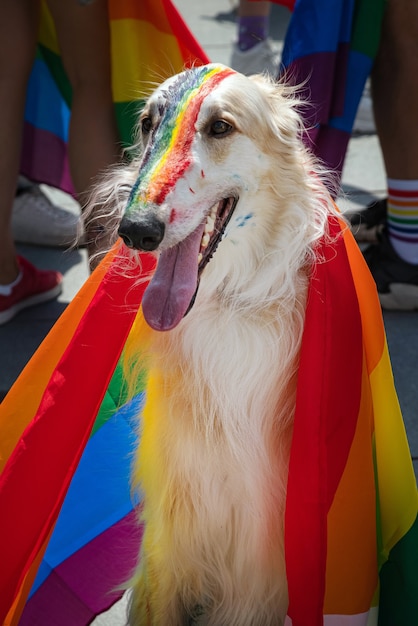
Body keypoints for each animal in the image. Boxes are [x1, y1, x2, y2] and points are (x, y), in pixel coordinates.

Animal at [88, 63, 340, 624]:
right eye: (147, 124)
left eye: (221, 126)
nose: (134, 230)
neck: (228, 306)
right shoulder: (171, 539)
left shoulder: (261, 563)